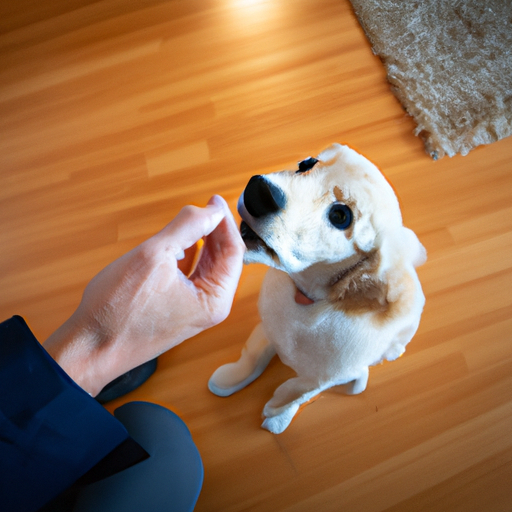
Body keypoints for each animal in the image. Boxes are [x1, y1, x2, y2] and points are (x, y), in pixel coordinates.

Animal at [208, 143, 428, 432]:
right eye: (306, 164)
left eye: (340, 216)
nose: (258, 191)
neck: (307, 300)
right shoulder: (267, 329)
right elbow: (252, 355)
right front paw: (231, 377)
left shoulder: (321, 380)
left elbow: (297, 394)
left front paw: (277, 415)